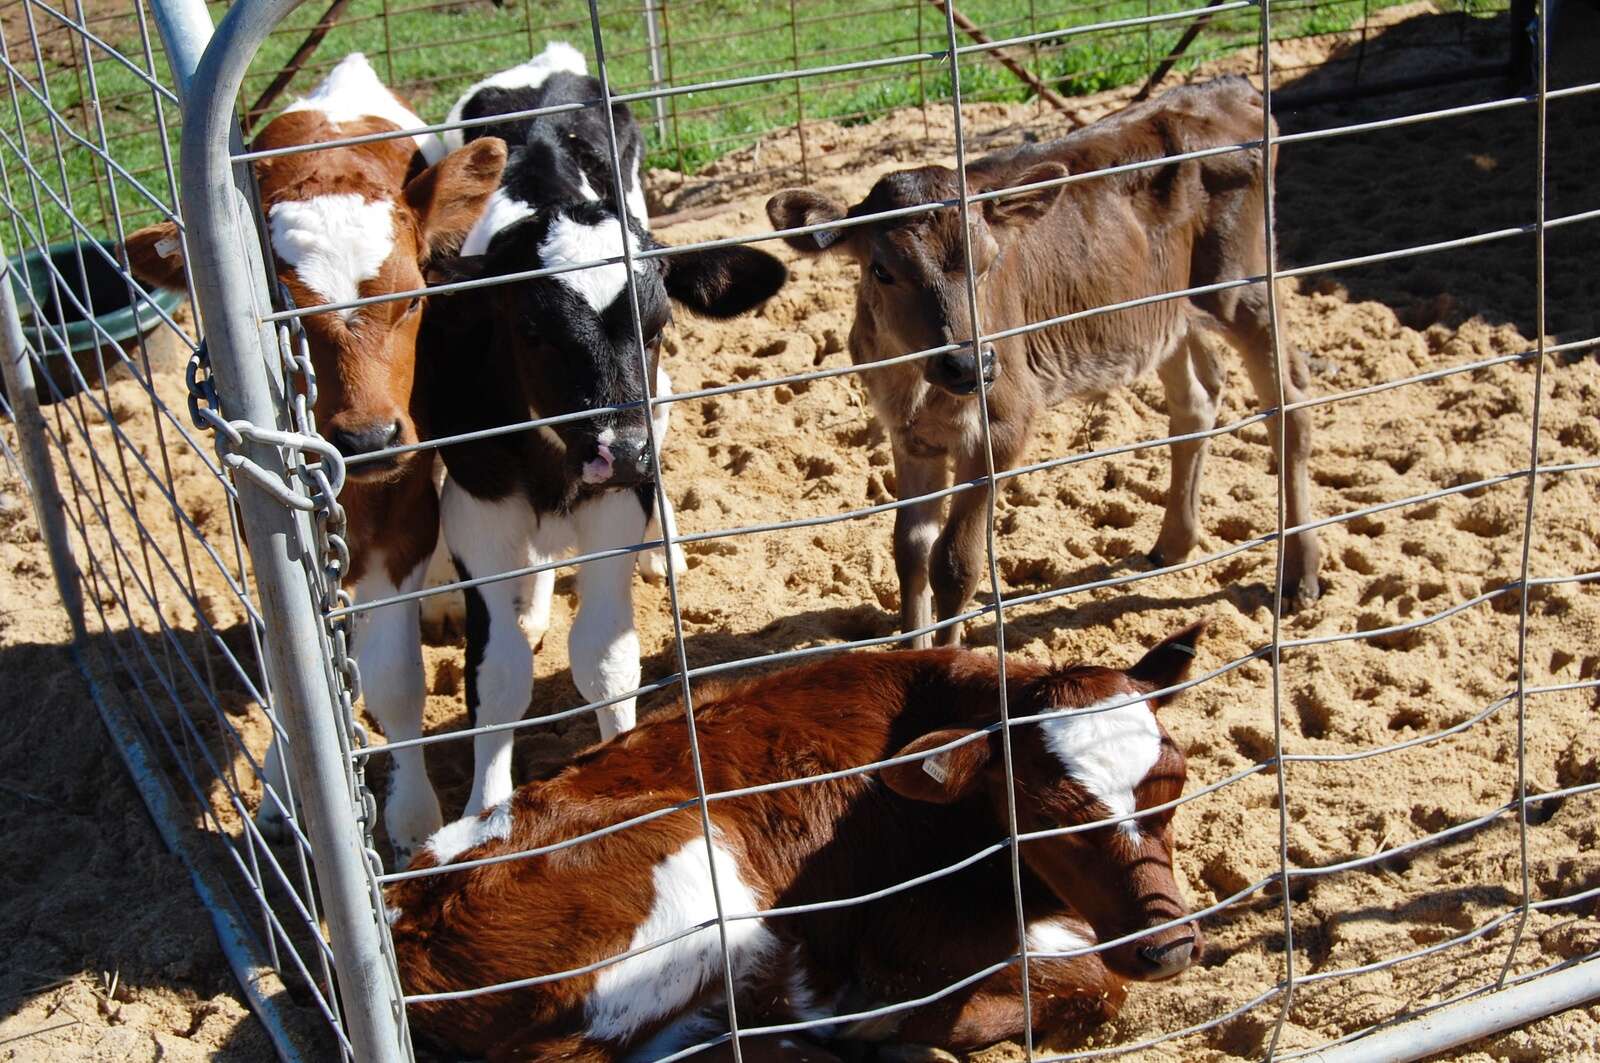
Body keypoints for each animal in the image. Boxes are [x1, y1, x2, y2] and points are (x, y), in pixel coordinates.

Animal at [121, 53, 507, 863]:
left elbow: (393, 679)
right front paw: (281, 791)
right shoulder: (257, 513)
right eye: (281, 323)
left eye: (414, 298)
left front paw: (411, 818)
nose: (367, 439)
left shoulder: (403, 513)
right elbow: (289, 670)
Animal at [384, 624, 1209, 1062]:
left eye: (1171, 792)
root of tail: (408, 917)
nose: (1168, 945)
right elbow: (1091, 981)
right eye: (1048, 819)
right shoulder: (907, 935)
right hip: (696, 869)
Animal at [418, 43, 787, 818]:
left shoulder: (616, 502)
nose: (624, 452)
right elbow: (496, 675)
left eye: (658, 326)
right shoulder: (477, 509)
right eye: (530, 331)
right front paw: (480, 811)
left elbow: (606, 659)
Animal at [766, 77, 1321, 649]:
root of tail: (1226, 88)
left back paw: (1299, 576)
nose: (968, 363)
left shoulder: (1004, 422)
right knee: (1197, 400)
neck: (918, 382)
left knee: (1291, 403)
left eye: (989, 263)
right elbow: (910, 550)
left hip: (1241, 286)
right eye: (881, 270)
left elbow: (955, 563)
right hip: (1165, 312)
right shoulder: (908, 433)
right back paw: (1172, 543)